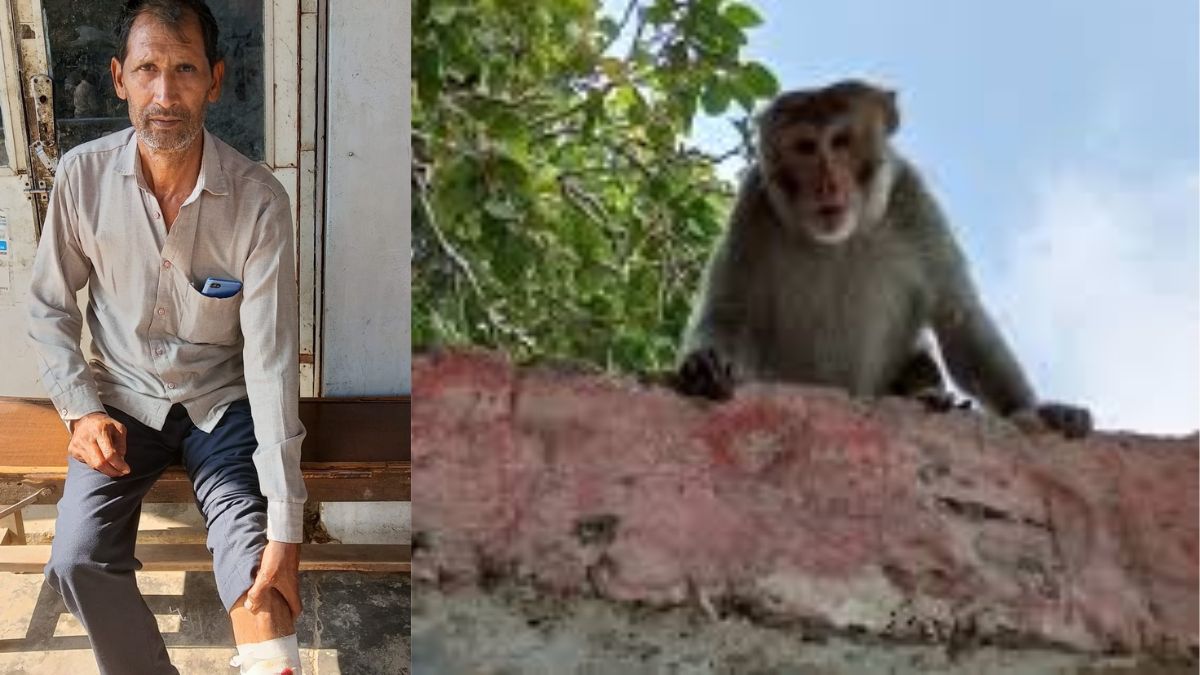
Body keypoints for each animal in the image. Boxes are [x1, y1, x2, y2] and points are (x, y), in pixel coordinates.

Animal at [675, 80, 1092, 438]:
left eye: (840, 141)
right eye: (806, 147)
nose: (827, 183)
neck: (839, 239)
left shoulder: (912, 196)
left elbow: (959, 317)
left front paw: (1039, 409)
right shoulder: (754, 204)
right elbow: (731, 313)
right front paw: (706, 365)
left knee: (921, 359)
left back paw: (930, 396)